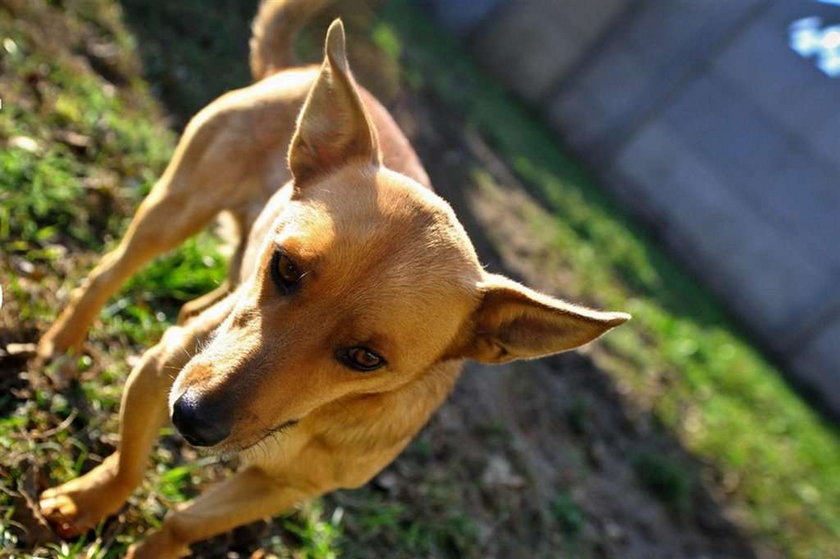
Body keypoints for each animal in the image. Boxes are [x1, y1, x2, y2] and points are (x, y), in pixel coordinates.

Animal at [39, 2, 632, 556]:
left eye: (366, 358)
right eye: (285, 267)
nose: (190, 419)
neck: (313, 418)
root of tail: (297, 69)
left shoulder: (281, 487)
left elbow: (183, 522)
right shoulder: (158, 371)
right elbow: (129, 466)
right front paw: (87, 501)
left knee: (189, 304)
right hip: (176, 209)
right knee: (107, 274)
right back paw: (62, 345)